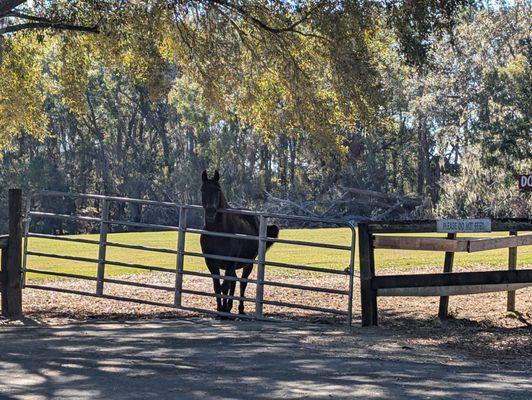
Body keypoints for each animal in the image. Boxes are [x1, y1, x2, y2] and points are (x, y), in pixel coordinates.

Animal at [198, 170, 276, 314]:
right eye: (202, 190)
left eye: (218, 190)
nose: (211, 212)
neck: (219, 232)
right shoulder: (211, 262)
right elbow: (217, 286)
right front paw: (220, 309)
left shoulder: (230, 262)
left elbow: (225, 286)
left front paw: (223, 311)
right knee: (233, 282)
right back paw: (229, 307)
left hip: (248, 263)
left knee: (242, 283)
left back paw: (240, 309)